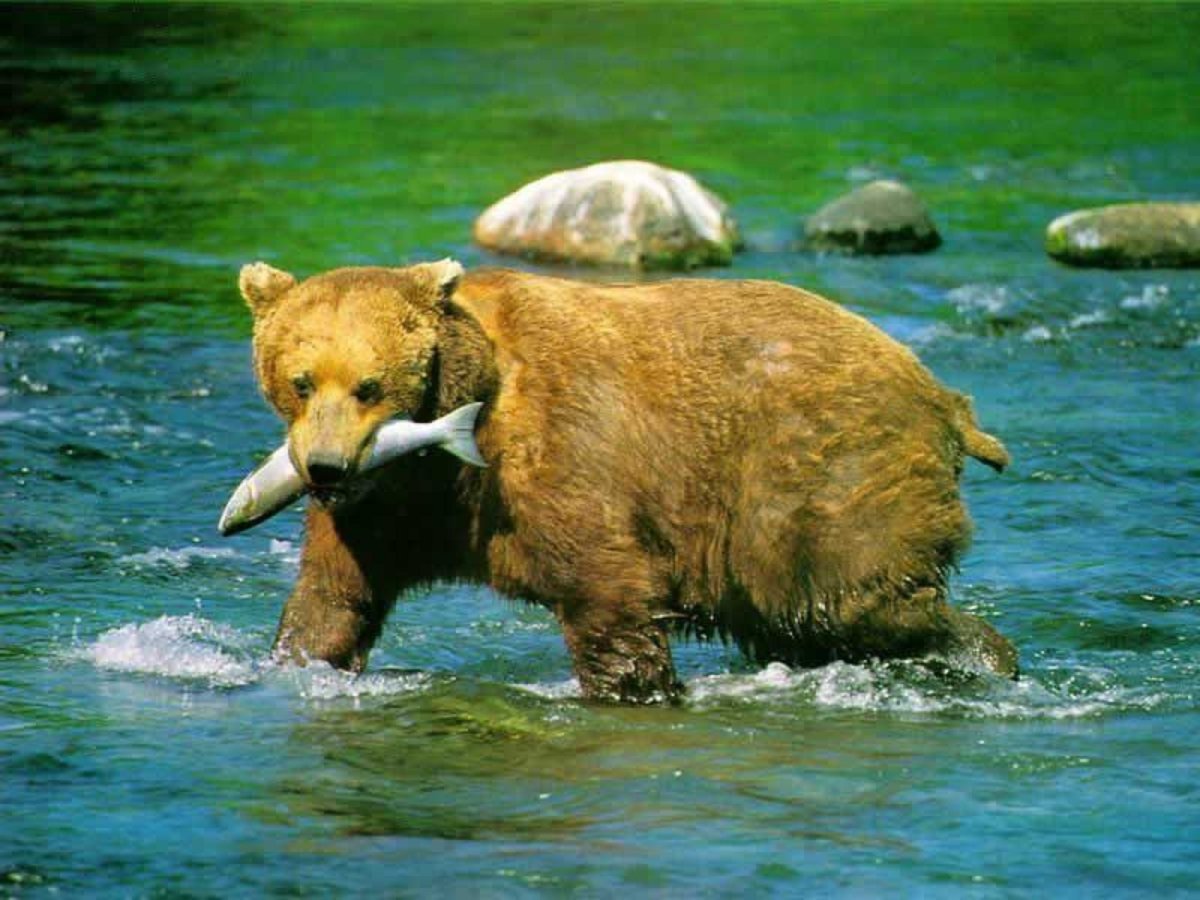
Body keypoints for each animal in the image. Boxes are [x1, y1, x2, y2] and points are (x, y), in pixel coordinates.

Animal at [236, 260, 1016, 702]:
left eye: (369, 385)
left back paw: (982, 654)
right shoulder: (389, 511)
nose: (326, 466)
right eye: (300, 380)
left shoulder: (554, 457)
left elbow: (604, 584)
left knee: (850, 599)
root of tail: (940, 392)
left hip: (819, 478)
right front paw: (295, 660)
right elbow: (335, 597)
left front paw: (636, 686)